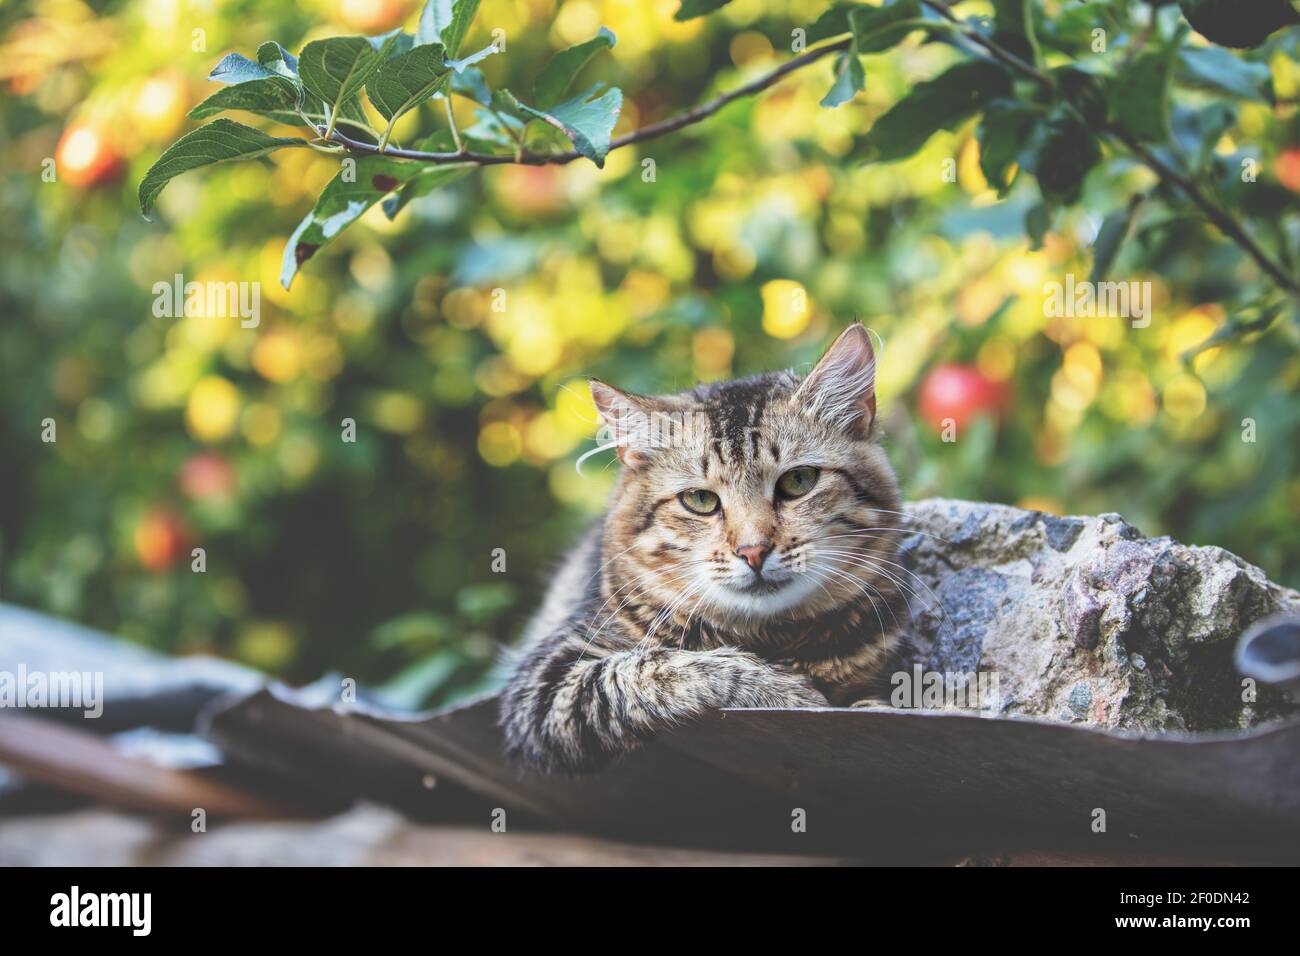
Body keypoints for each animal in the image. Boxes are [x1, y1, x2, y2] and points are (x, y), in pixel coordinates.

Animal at [496, 325, 915, 775]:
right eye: (700, 500)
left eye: (799, 481)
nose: (753, 551)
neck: (771, 640)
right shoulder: (548, 681)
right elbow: (654, 668)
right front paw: (783, 690)